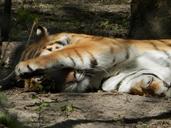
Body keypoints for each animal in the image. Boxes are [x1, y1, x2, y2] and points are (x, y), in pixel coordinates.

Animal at [14, 25, 171, 96]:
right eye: (48, 80)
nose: (72, 79)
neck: (96, 75)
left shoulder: (98, 45)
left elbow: (65, 52)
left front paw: (23, 66)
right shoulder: (121, 77)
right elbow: (139, 79)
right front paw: (154, 86)